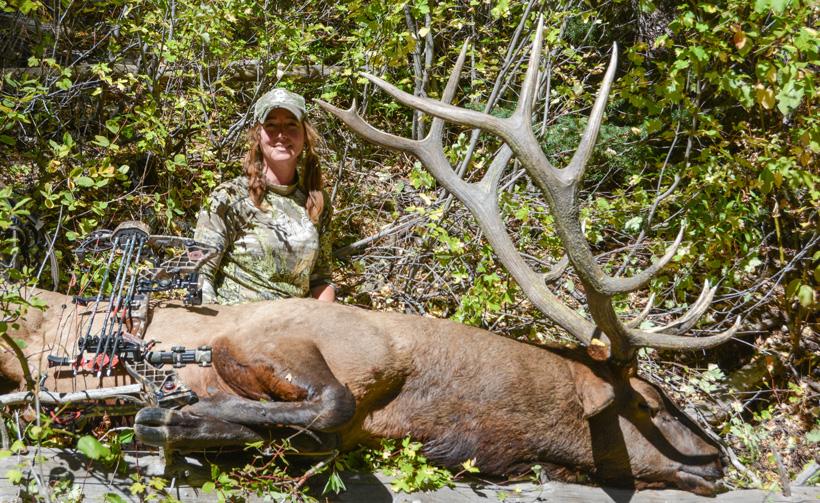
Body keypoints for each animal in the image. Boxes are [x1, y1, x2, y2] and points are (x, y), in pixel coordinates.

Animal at [0, 16, 739, 496]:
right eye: (648, 402)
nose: (717, 458)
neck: (422, 395)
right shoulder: (271, 339)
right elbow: (327, 404)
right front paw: (168, 414)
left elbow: (320, 429)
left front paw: (180, 419)